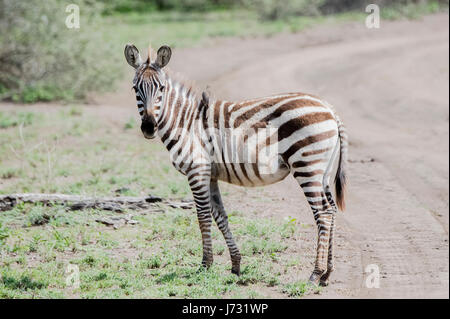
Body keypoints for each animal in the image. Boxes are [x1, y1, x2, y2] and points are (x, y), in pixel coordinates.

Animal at [123, 43, 348, 286]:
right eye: (135, 88)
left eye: (162, 88)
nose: (149, 127)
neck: (185, 123)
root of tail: (329, 108)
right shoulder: (210, 174)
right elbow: (220, 216)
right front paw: (236, 264)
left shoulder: (197, 170)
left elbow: (203, 216)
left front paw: (205, 265)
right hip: (322, 171)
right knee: (332, 210)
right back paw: (327, 272)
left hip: (307, 166)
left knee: (322, 213)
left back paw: (315, 273)